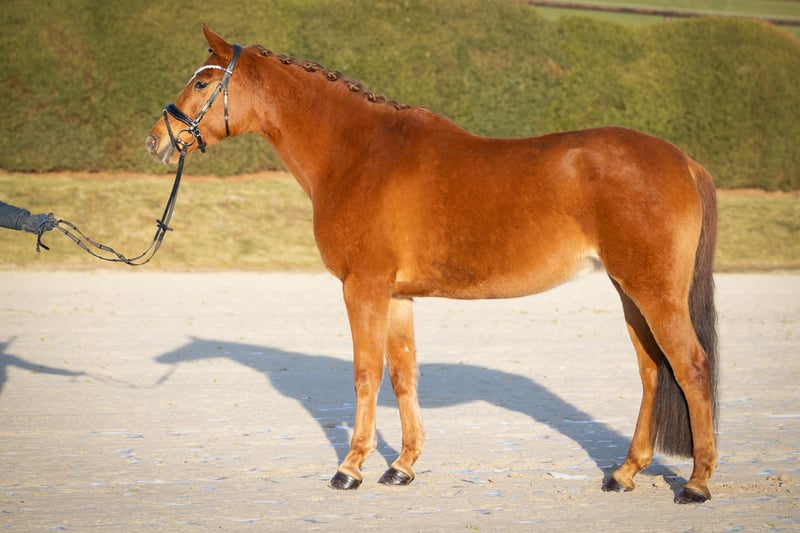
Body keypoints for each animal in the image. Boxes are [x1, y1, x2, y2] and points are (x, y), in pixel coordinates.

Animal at [146, 25, 719, 504]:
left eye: (202, 82)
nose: (156, 139)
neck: (359, 155)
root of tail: (684, 161)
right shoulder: (398, 297)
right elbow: (403, 376)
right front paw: (401, 466)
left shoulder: (363, 288)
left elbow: (365, 373)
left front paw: (349, 468)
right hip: (629, 291)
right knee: (652, 370)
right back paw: (624, 473)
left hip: (653, 291)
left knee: (690, 367)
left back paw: (696, 483)